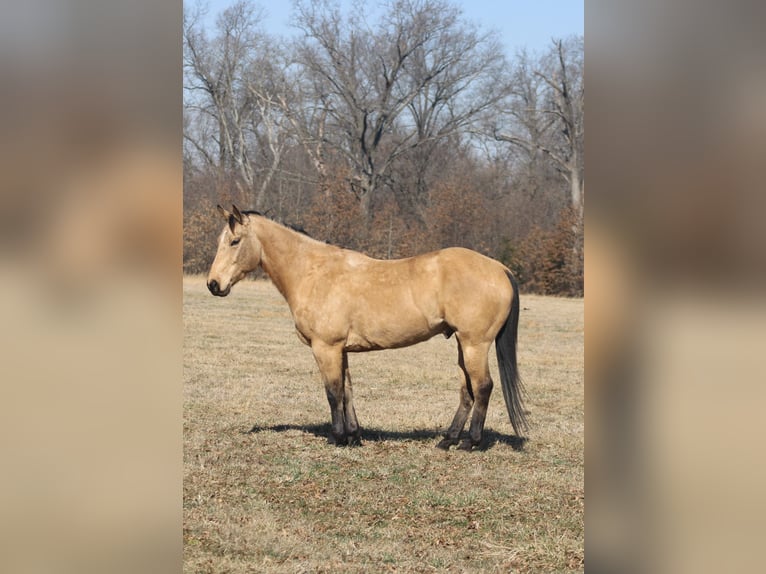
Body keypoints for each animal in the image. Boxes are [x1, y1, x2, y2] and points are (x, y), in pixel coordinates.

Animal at [204, 205, 528, 452]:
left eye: (234, 241)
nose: (213, 284)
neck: (313, 272)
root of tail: (500, 269)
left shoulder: (326, 347)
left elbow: (332, 391)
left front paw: (337, 438)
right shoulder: (341, 349)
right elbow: (347, 390)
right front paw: (353, 436)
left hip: (475, 343)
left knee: (483, 387)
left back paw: (470, 443)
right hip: (464, 344)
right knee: (467, 390)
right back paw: (447, 440)